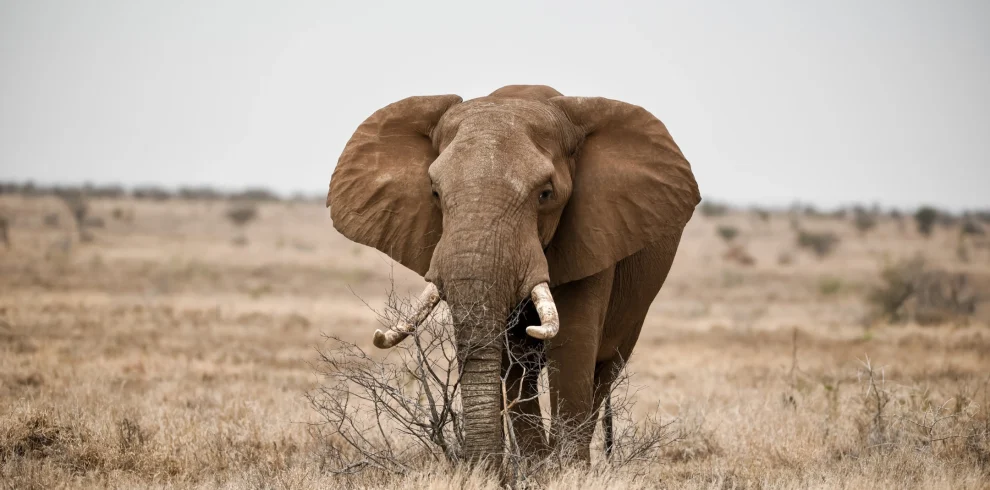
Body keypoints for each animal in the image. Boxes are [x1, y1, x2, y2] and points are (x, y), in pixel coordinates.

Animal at [326, 84, 700, 464]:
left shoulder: (592, 234)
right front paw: (535, 468)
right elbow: (513, 358)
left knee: (604, 370)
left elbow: (573, 343)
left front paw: (563, 470)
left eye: (546, 194)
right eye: (434, 192)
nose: (480, 467)